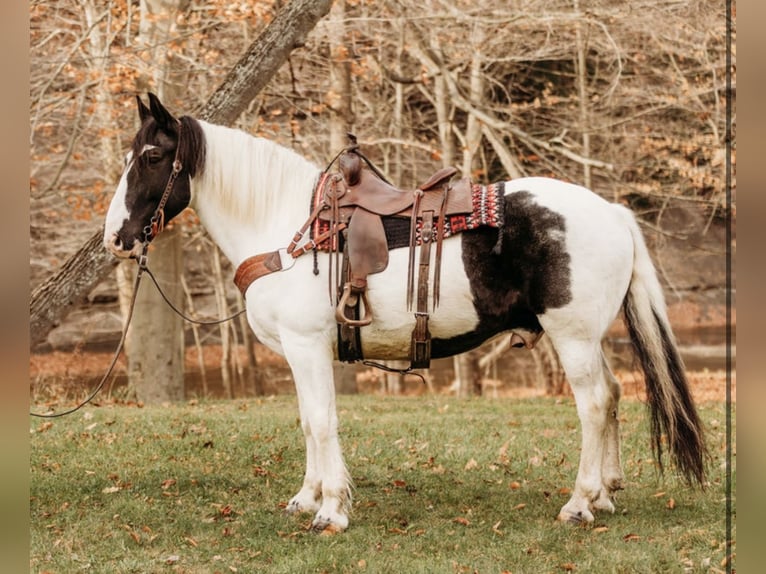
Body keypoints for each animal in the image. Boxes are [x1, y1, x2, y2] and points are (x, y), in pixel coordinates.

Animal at [102, 93, 708, 536]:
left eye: (152, 158)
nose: (116, 238)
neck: (287, 227)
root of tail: (612, 211)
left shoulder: (307, 346)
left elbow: (322, 420)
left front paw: (331, 511)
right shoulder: (301, 354)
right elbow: (307, 422)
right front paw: (306, 498)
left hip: (573, 336)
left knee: (595, 403)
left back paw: (579, 503)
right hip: (586, 338)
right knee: (614, 395)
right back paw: (606, 494)